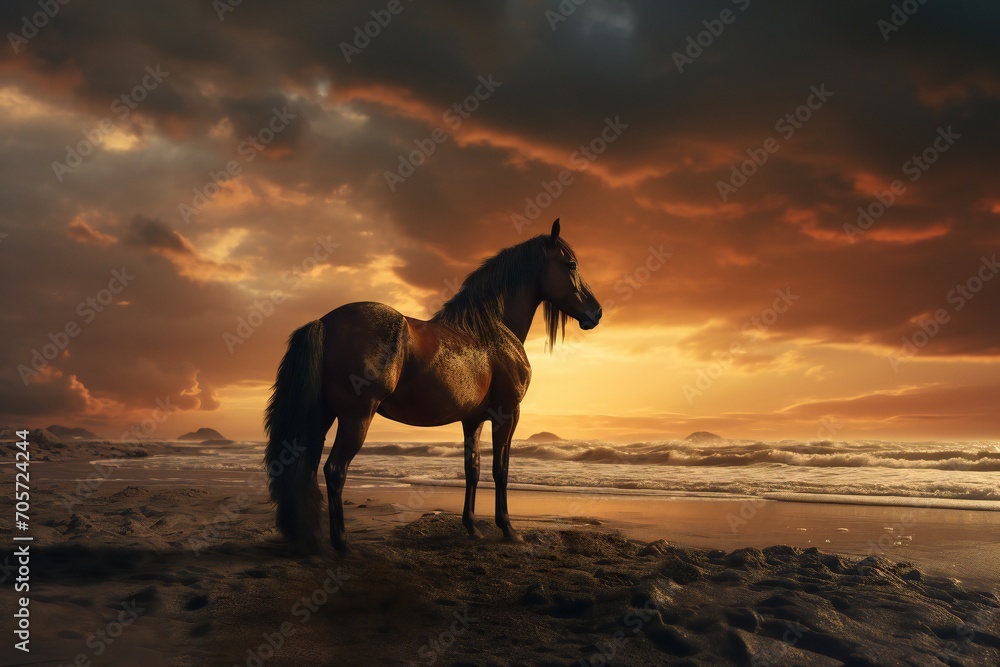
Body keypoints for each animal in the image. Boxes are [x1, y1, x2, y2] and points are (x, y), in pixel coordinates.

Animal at [262, 220, 600, 552]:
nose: (595, 312)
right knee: (334, 470)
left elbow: (473, 470)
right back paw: (341, 543)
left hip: (322, 415)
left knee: (304, 468)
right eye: (571, 264)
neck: (491, 333)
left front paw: (472, 528)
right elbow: (500, 470)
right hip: (356, 417)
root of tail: (325, 322)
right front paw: (508, 529)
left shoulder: (473, 420)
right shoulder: (507, 414)